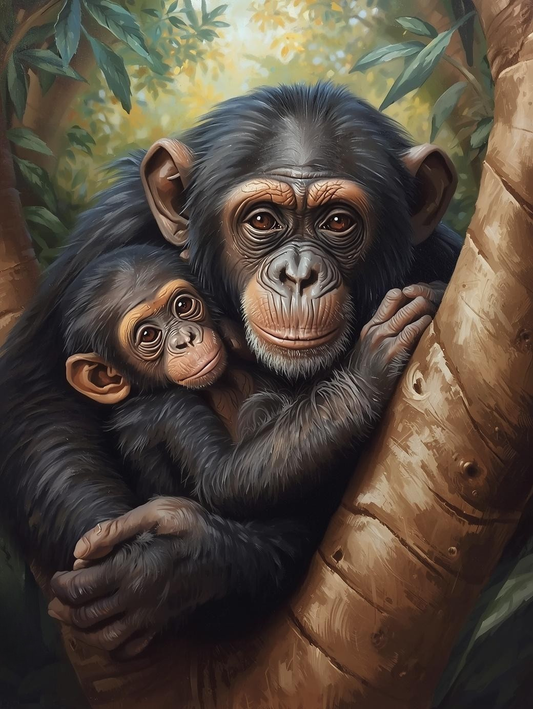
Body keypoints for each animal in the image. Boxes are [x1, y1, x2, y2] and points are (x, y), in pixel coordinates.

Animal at [0, 83, 463, 652]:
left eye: (337, 221)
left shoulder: (444, 257)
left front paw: (170, 567)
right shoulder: (109, 229)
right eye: (262, 220)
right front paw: (148, 568)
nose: (299, 274)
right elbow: (36, 393)